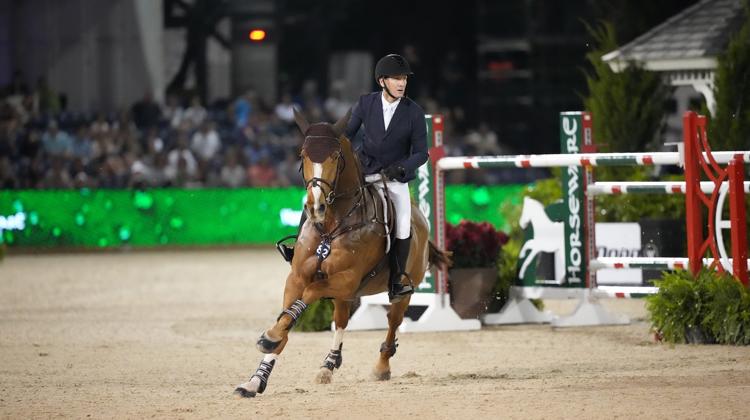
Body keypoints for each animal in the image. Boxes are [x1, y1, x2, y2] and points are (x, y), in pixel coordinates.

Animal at [234, 108, 452, 398]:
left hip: (402, 289)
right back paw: (329, 365)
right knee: (341, 321)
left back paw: (381, 367)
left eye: (335, 157)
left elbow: (307, 296)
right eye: (302, 155)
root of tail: (420, 217)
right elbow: (288, 318)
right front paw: (256, 378)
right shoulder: (298, 278)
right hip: (345, 294)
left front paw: (269, 338)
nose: (316, 207)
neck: (331, 226)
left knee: (393, 321)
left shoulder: (345, 279)